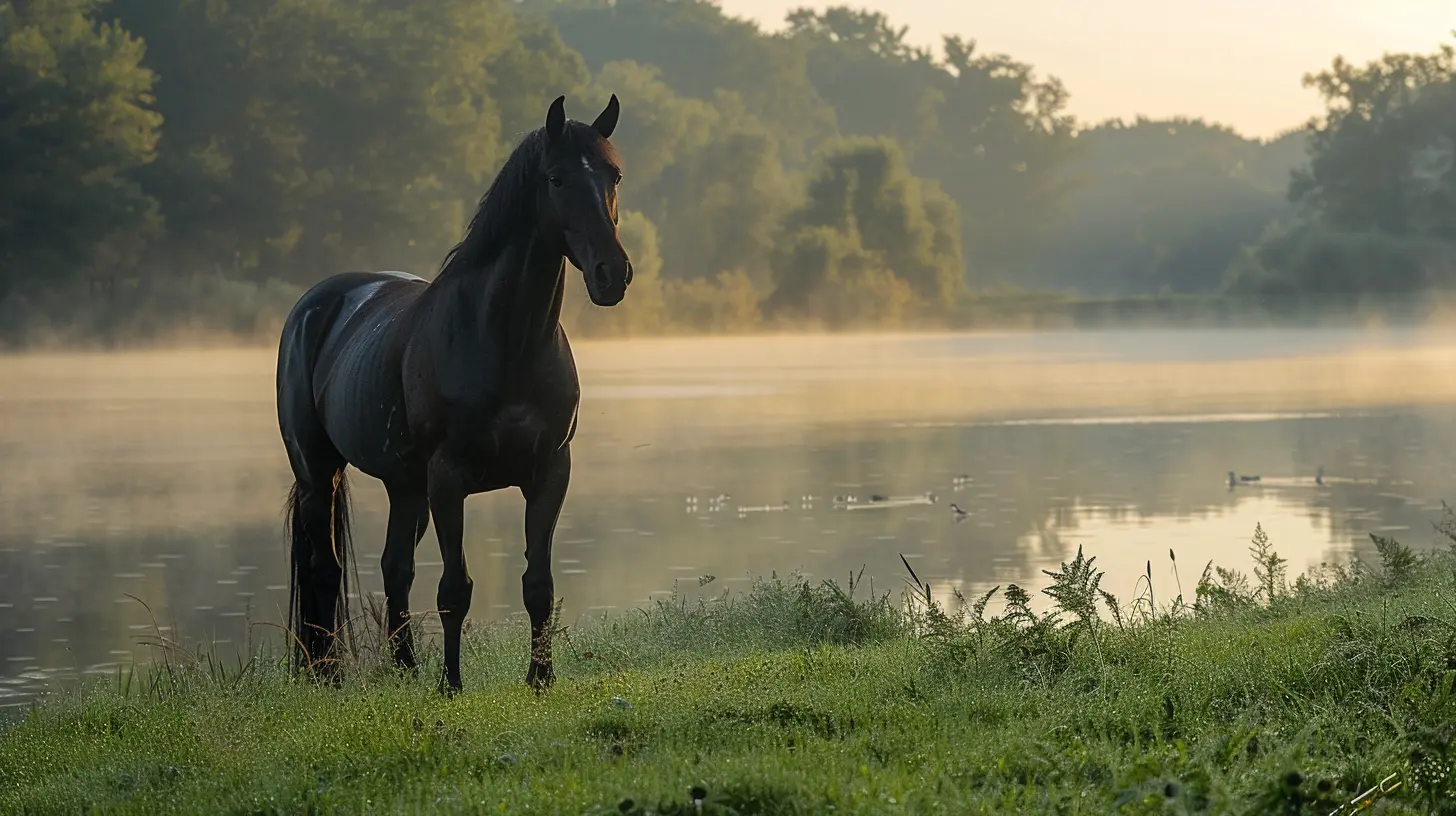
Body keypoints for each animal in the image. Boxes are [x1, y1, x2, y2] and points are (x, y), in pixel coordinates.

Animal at [275, 96, 628, 693]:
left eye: (613, 176)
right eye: (556, 178)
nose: (613, 274)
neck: (504, 341)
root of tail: (315, 305)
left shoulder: (550, 472)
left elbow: (538, 583)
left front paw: (540, 679)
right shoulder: (448, 478)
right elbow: (454, 590)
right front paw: (451, 685)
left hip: (404, 487)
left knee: (394, 568)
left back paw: (404, 668)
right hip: (319, 473)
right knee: (325, 568)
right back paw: (329, 675)